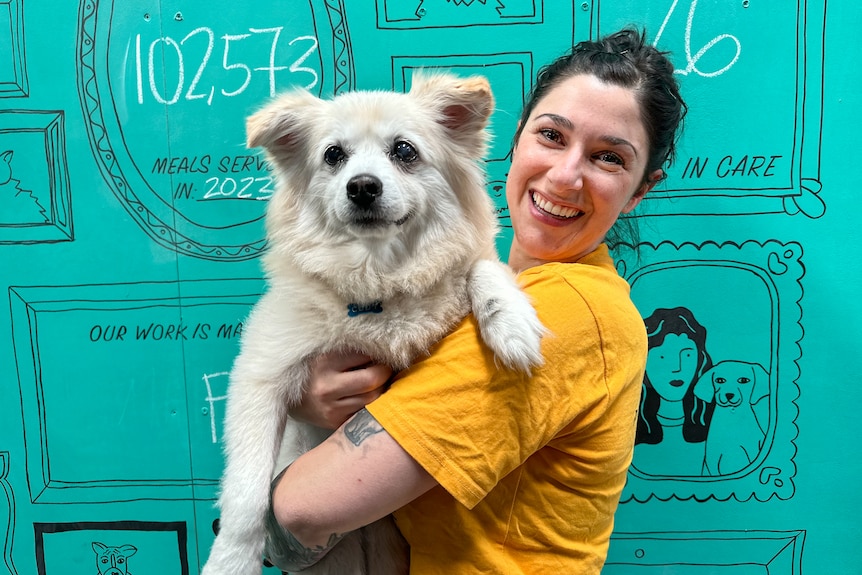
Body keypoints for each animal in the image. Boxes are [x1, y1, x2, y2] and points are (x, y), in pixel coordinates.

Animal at [199, 74, 544, 575]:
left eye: (404, 150)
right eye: (332, 155)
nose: (362, 186)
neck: (377, 276)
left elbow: (481, 266)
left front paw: (512, 324)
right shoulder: (261, 374)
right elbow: (246, 492)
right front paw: (231, 561)